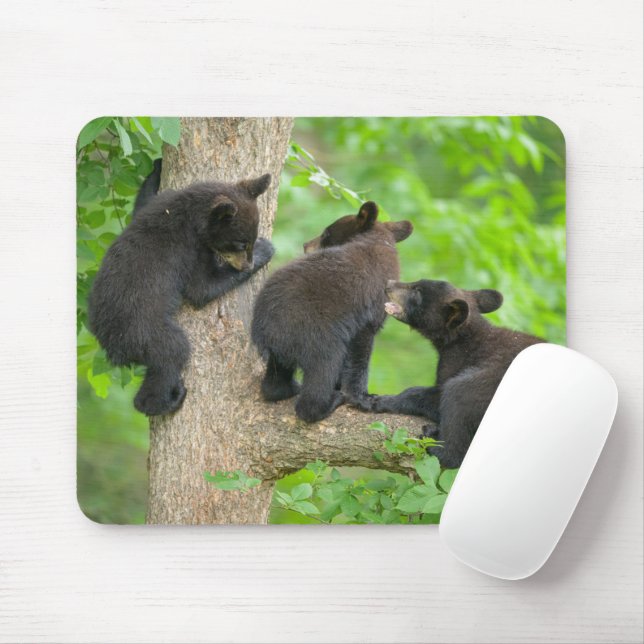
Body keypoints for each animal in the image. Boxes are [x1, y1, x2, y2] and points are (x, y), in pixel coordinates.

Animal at [88, 171, 274, 417]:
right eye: (241, 244)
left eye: (249, 240)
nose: (247, 265)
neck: (189, 212)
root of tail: (112, 346)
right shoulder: (189, 248)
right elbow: (200, 288)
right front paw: (266, 250)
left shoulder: (156, 205)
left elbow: (142, 202)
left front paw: (156, 169)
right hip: (146, 332)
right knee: (172, 354)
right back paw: (168, 400)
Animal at [251, 201, 413, 423]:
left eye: (326, 233)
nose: (305, 245)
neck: (379, 241)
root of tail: (264, 330)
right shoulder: (367, 311)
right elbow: (360, 353)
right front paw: (363, 397)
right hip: (316, 335)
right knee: (324, 368)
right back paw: (328, 402)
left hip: (283, 348)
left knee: (276, 379)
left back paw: (286, 388)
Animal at [354, 279, 545, 468]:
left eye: (417, 290)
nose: (389, 283)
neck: (461, 338)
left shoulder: (459, 360)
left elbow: (433, 394)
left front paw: (378, 400)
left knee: (458, 396)